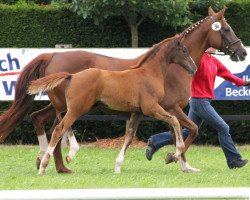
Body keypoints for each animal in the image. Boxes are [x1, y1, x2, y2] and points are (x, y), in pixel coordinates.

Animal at [28, 37, 197, 175]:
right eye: (184, 50)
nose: (194, 68)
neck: (150, 73)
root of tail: (72, 76)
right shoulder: (151, 108)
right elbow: (175, 121)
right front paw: (175, 154)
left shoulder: (138, 113)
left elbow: (129, 137)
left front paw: (117, 166)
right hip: (77, 109)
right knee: (58, 129)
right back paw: (44, 165)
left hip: (75, 108)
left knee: (59, 124)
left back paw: (63, 157)